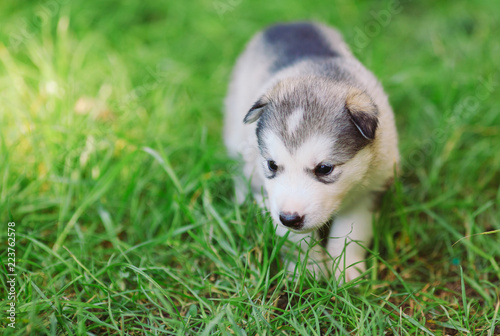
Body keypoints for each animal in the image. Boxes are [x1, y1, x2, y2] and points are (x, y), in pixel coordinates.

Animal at [225, 21, 400, 280]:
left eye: (325, 169)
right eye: (272, 165)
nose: (289, 218)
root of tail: (289, 23)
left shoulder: (370, 189)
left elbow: (351, 233)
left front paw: (347, 272)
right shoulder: (269, 196)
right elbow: (296, 241)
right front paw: (307, 271)